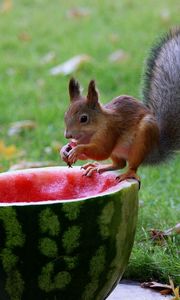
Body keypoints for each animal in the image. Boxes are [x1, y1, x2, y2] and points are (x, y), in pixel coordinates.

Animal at [60, 27, 180, 185]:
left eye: (84, 118)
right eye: (65, 115)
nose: (68, 135)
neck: (93, 130)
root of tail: (154, 150)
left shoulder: (110, 131)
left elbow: (102, 151)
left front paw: (78, 149)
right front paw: (65, 149)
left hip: (141, 141)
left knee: (131, 165)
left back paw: (128, 173)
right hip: (118, 152)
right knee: (119, 164)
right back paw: (98, 167)